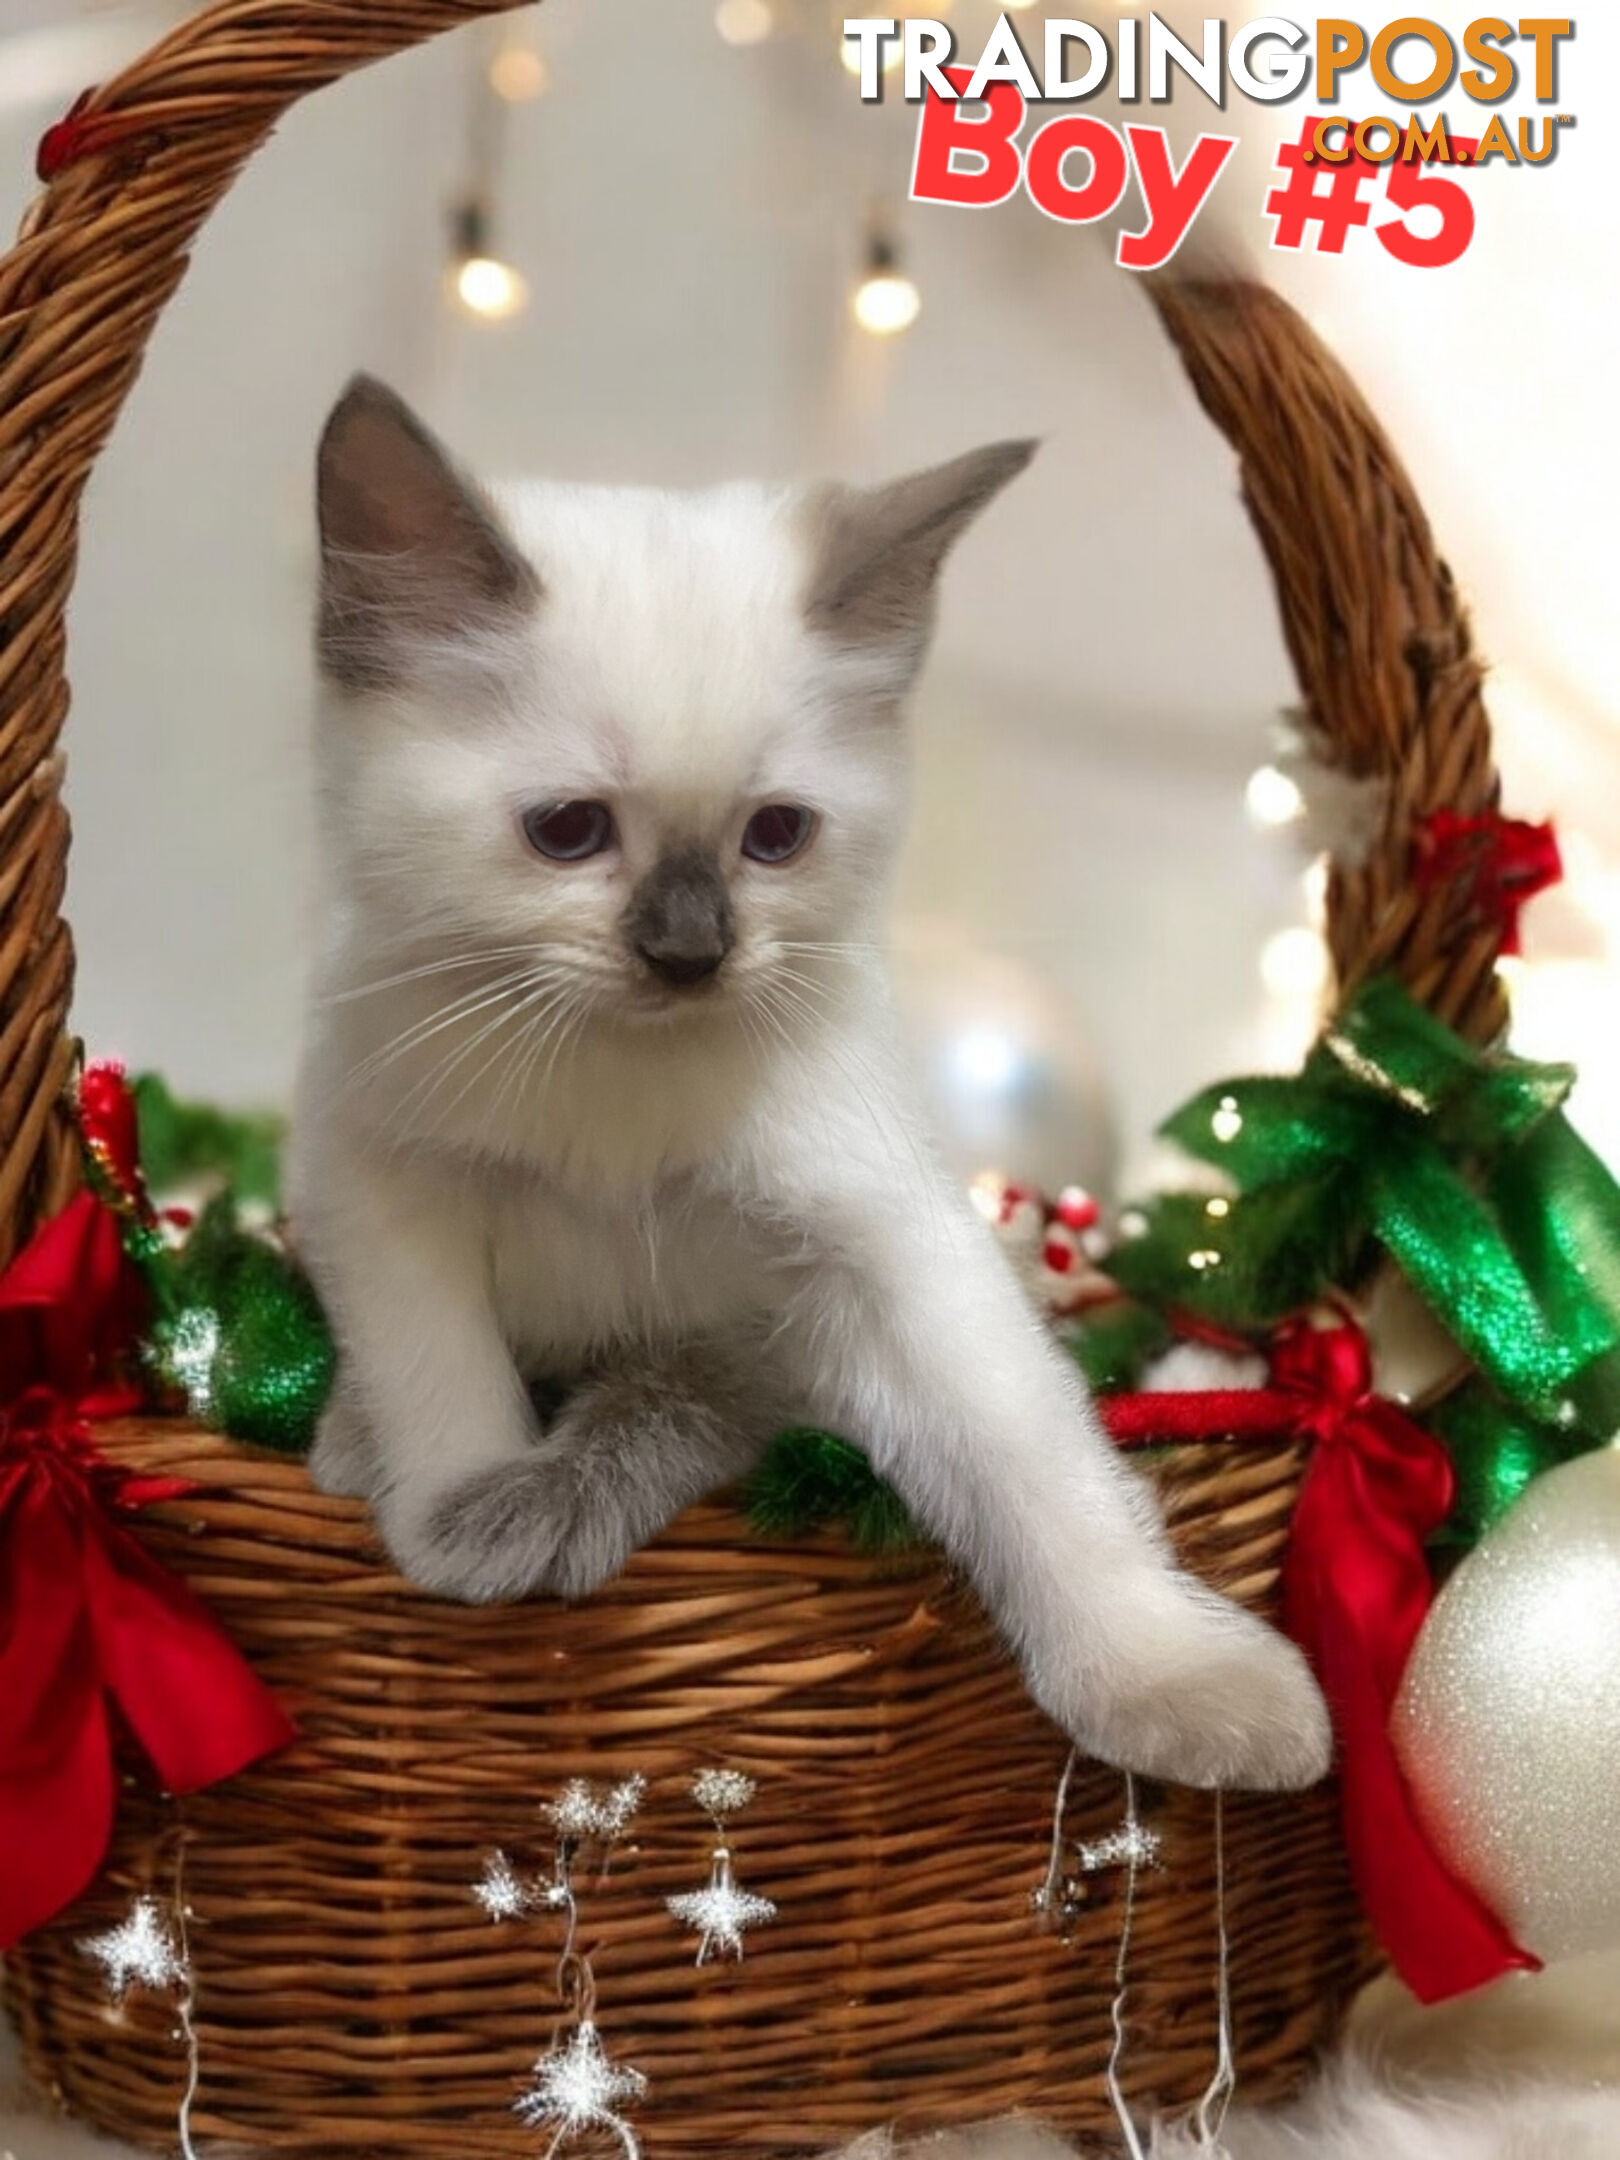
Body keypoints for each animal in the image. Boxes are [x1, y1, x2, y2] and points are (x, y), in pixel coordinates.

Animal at [291, 384, 1330, 1788]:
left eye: (775, 836)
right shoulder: (381, 1178)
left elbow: (1038, 1467)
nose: (689, 955)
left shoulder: (883, 1247)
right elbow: (439, 1375)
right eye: (567, 831)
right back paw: (358, 1443)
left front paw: (1170, 1678)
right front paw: (463, 1511)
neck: (623, 1079)